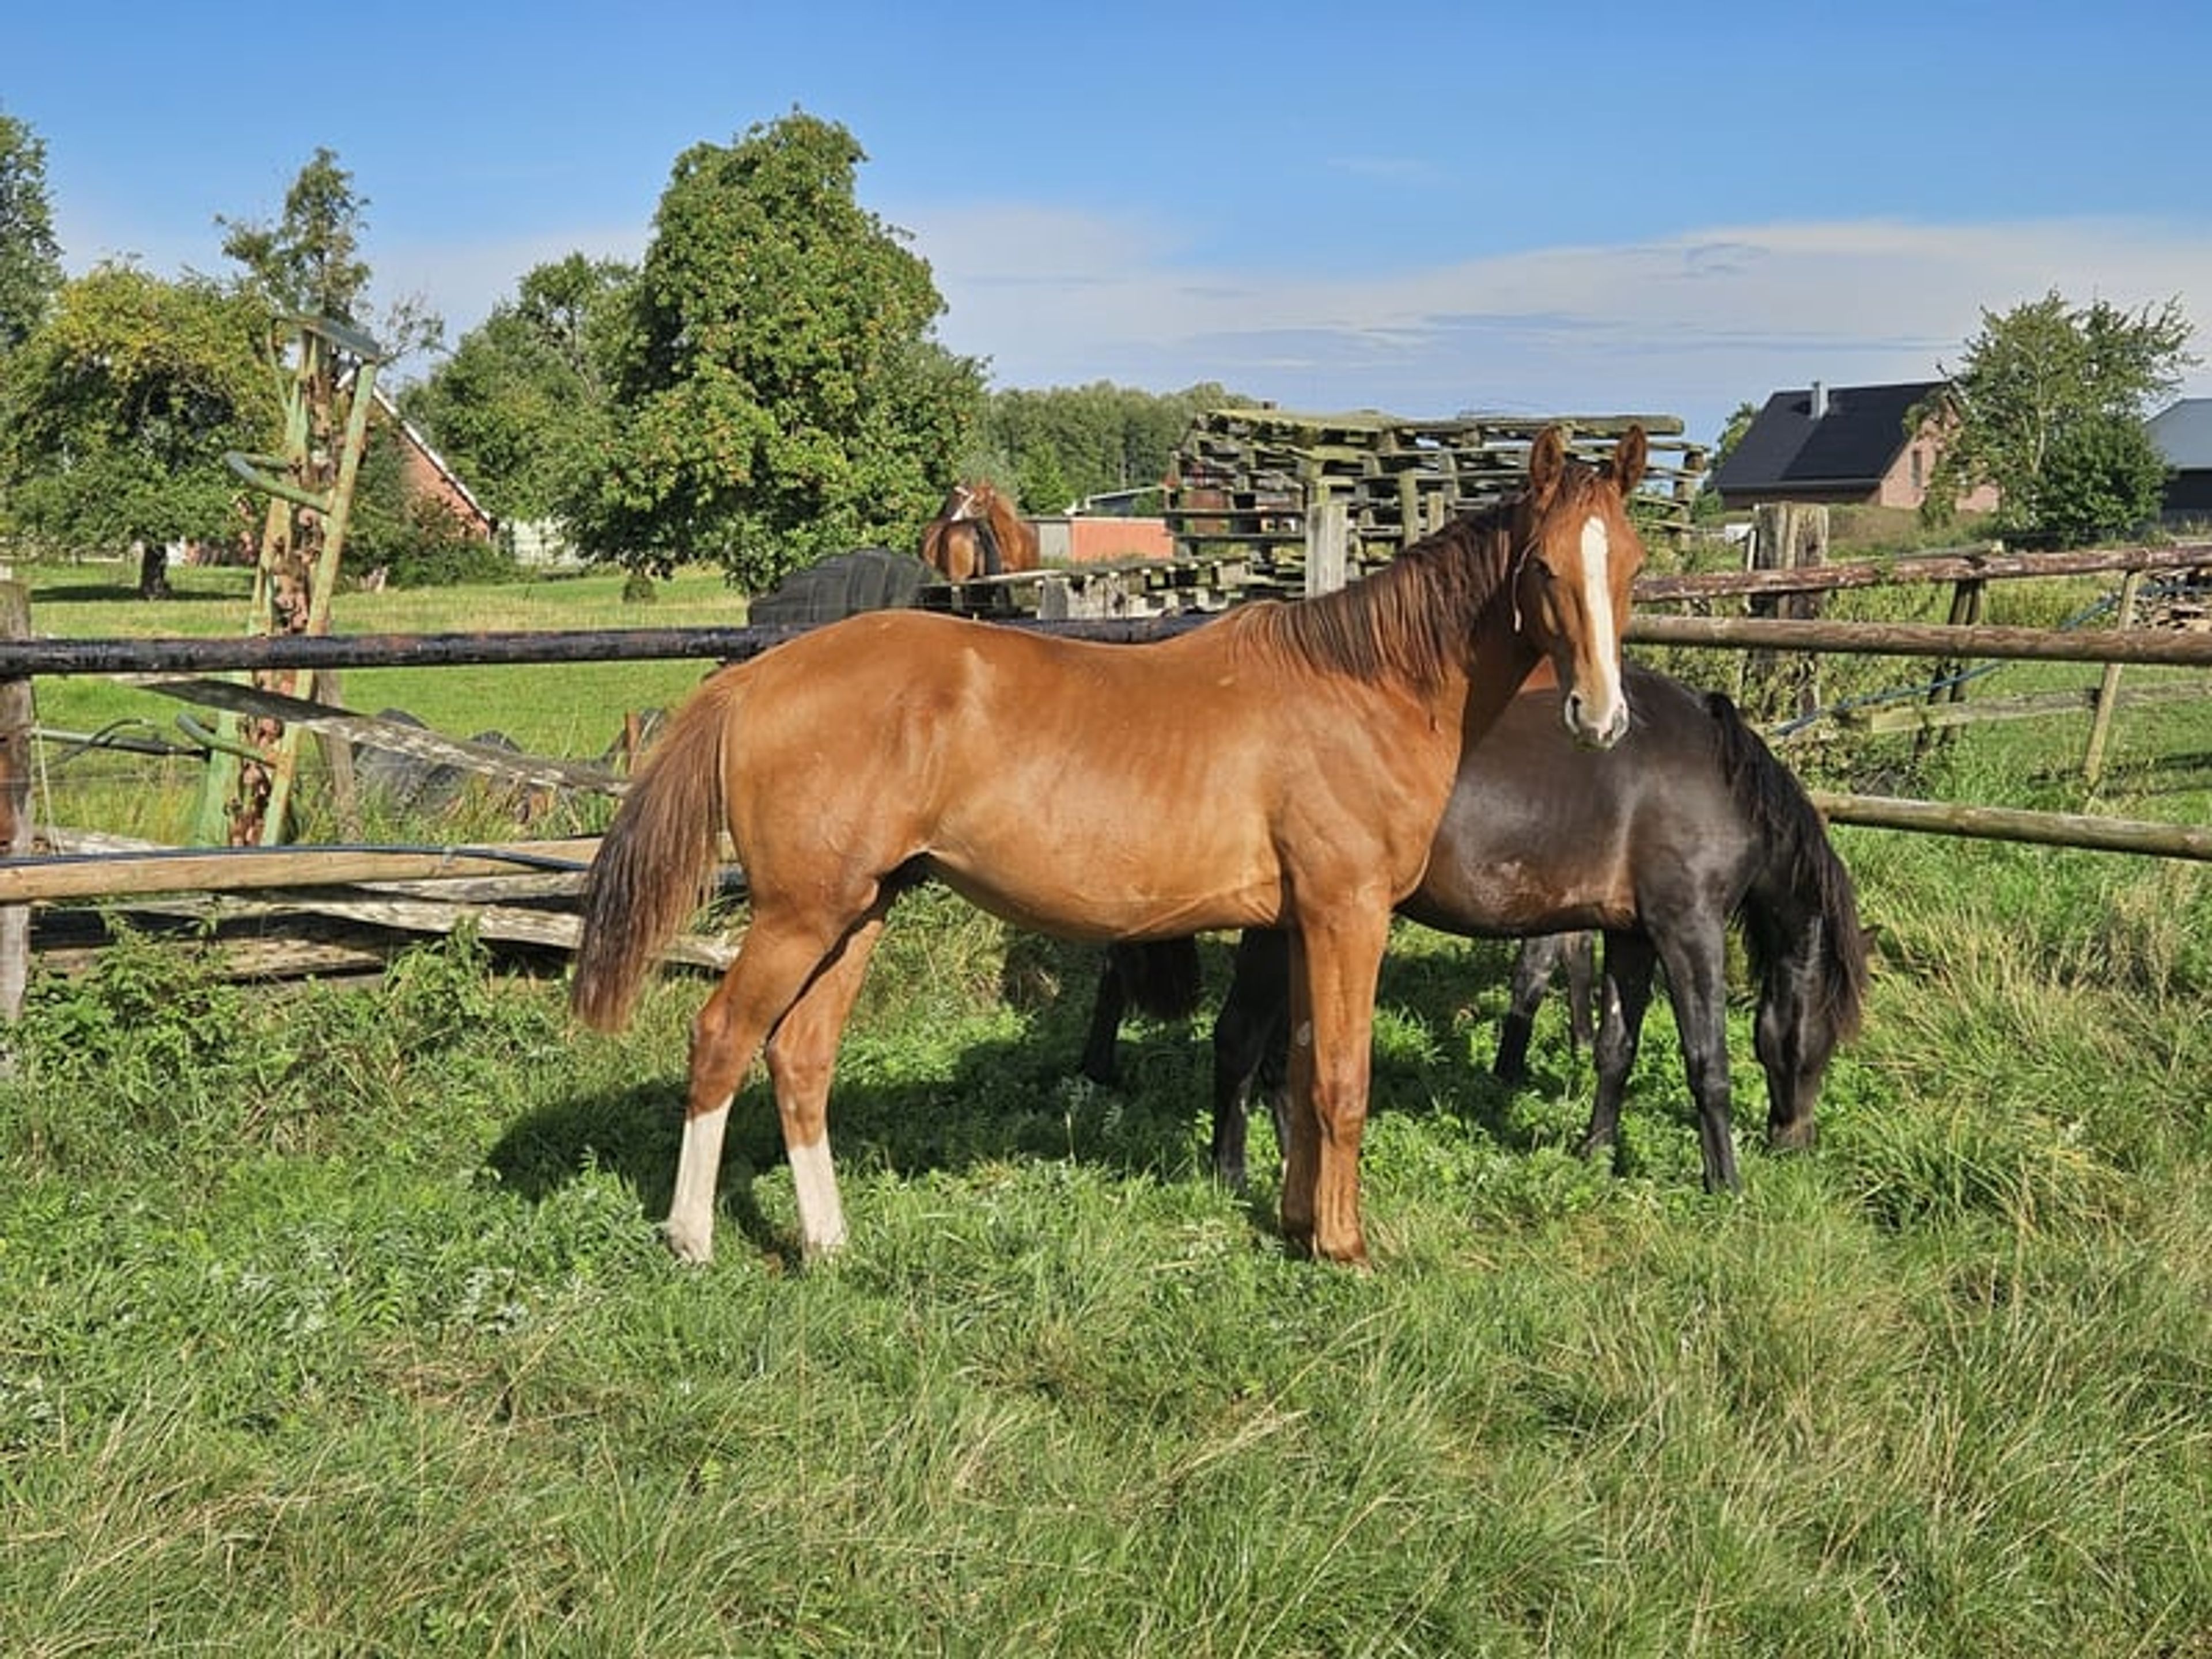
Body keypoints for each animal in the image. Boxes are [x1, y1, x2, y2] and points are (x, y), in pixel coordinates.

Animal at [1087, 662, 1869, 1194]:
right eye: (1824, 1037)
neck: (1716, 779)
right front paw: (1725, 1182)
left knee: (1279, 1054)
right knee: (1240, 1037)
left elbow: (1615, 1048)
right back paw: (1229, 1172)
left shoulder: (1632, 936)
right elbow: (1708, 1062)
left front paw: (1595, 1151)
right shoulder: (1689, 929)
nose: (1797, 1141)